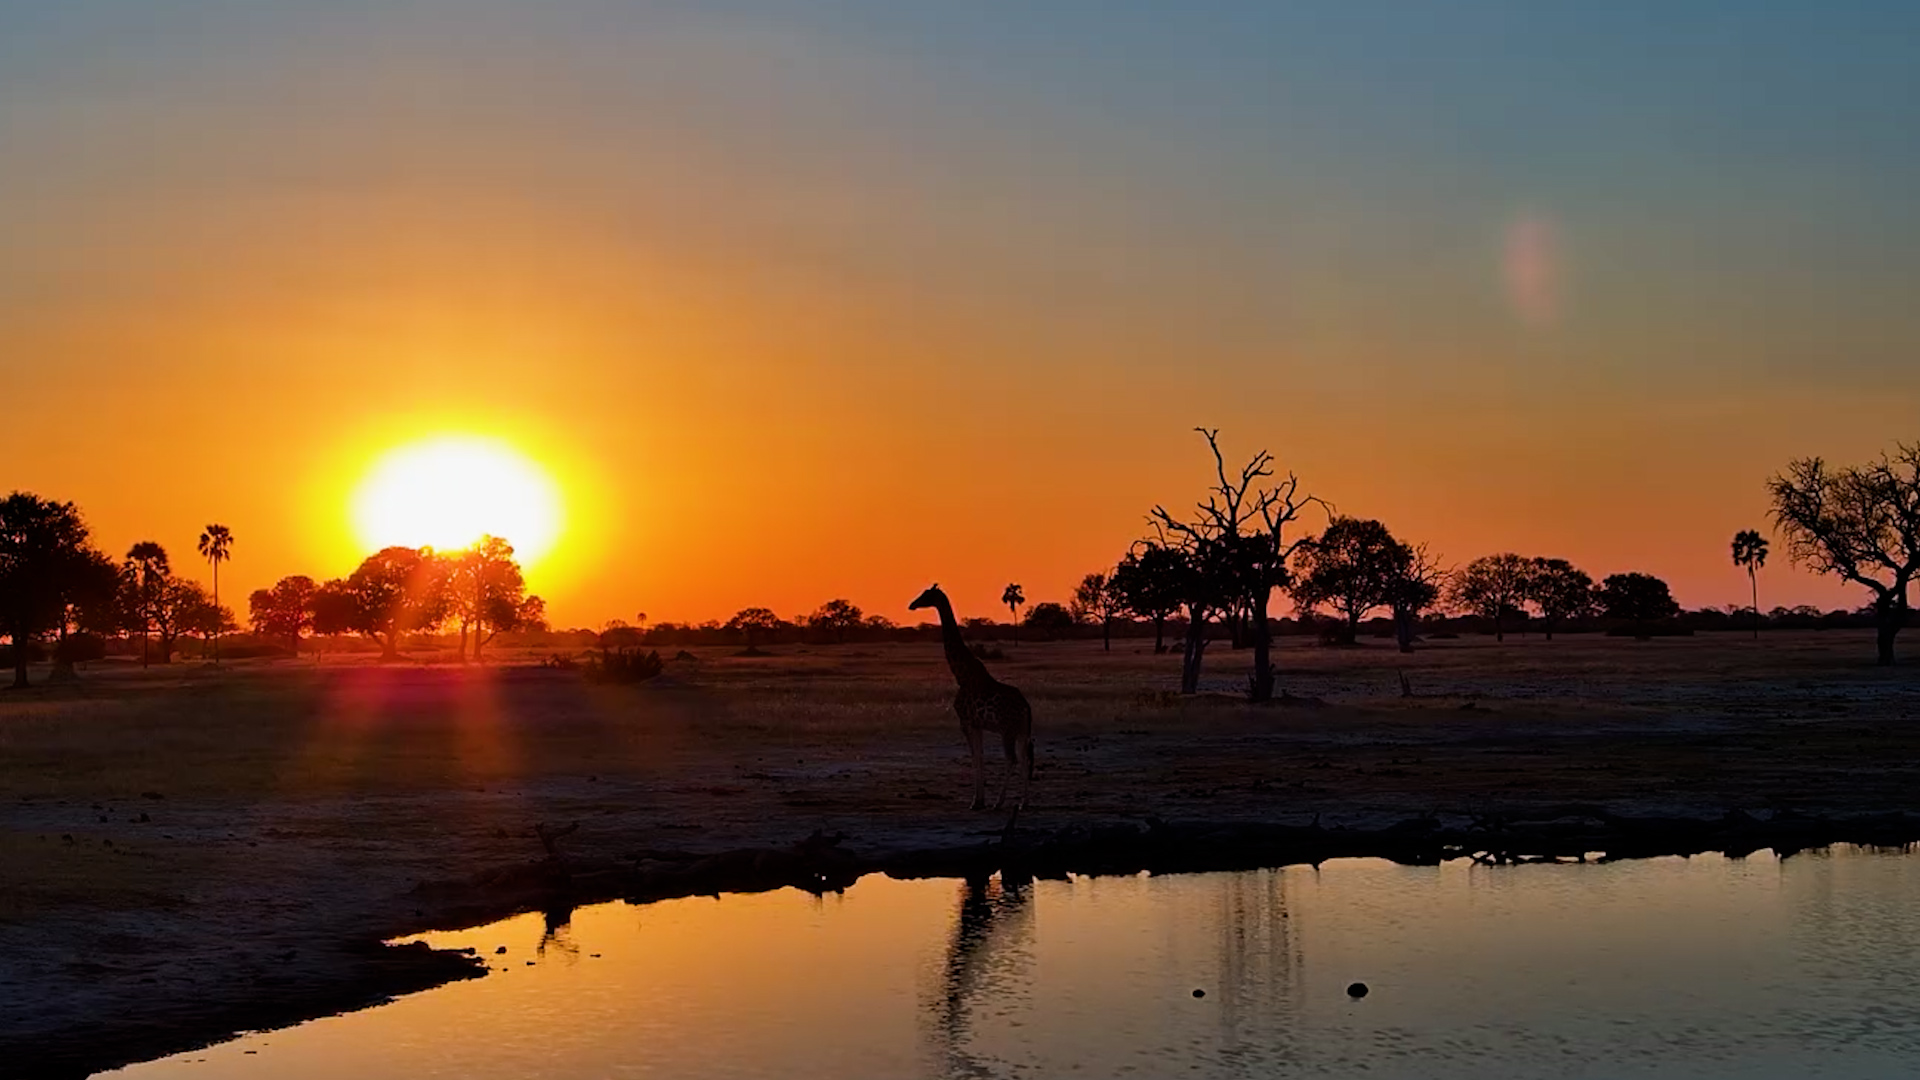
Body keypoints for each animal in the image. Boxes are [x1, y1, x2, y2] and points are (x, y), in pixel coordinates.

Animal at [909, 584, 1034, 811]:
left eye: (926, 595)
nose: (912, 604)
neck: (961, 675)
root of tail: (1025, 707)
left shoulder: (966, 722)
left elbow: (975, 757)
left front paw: (976, 802)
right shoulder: (977, 724)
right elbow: (981, 756)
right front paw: (980, 800)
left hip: (1008, 730)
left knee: (1012, 758)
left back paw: (999, 803)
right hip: (1022, 730)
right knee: (1024, 759)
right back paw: (1023, 803)